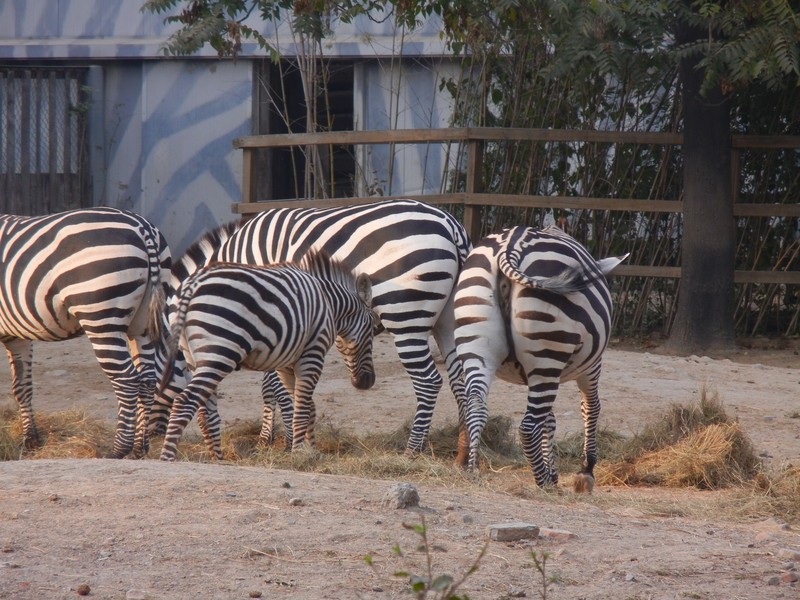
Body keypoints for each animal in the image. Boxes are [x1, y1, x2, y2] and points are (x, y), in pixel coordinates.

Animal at [0, 209, 170, 458]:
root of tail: (143, 227)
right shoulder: (17, 335)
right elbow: (22, 386)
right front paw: (31, 440)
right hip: (143, 325)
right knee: (148, 380)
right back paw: (139, 448)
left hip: (100, 315)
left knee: (127, 380)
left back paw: (118, 450)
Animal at [159, 248, 378, 460]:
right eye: (373, 329)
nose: (367, 382)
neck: (330, 305)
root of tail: (193, 283)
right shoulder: (313, 354)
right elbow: (302, 410)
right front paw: (298, 455)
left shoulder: (286, 364)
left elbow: (307, 407)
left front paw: (310, 451)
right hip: (219, 353)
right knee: (184, 402)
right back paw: (167, 457)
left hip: (195, 358)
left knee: (206, 413)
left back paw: (217, 459)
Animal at [454, 225, 628, 492]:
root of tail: (511, 246)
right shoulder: (591, 367)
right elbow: (591, 407)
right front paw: (585, 471)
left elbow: (550, 420)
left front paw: (555, 472)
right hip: (547, 355)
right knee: (527, 426)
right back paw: (543, 483)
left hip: (477, 344)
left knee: (476, 405)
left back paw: (472, 469)